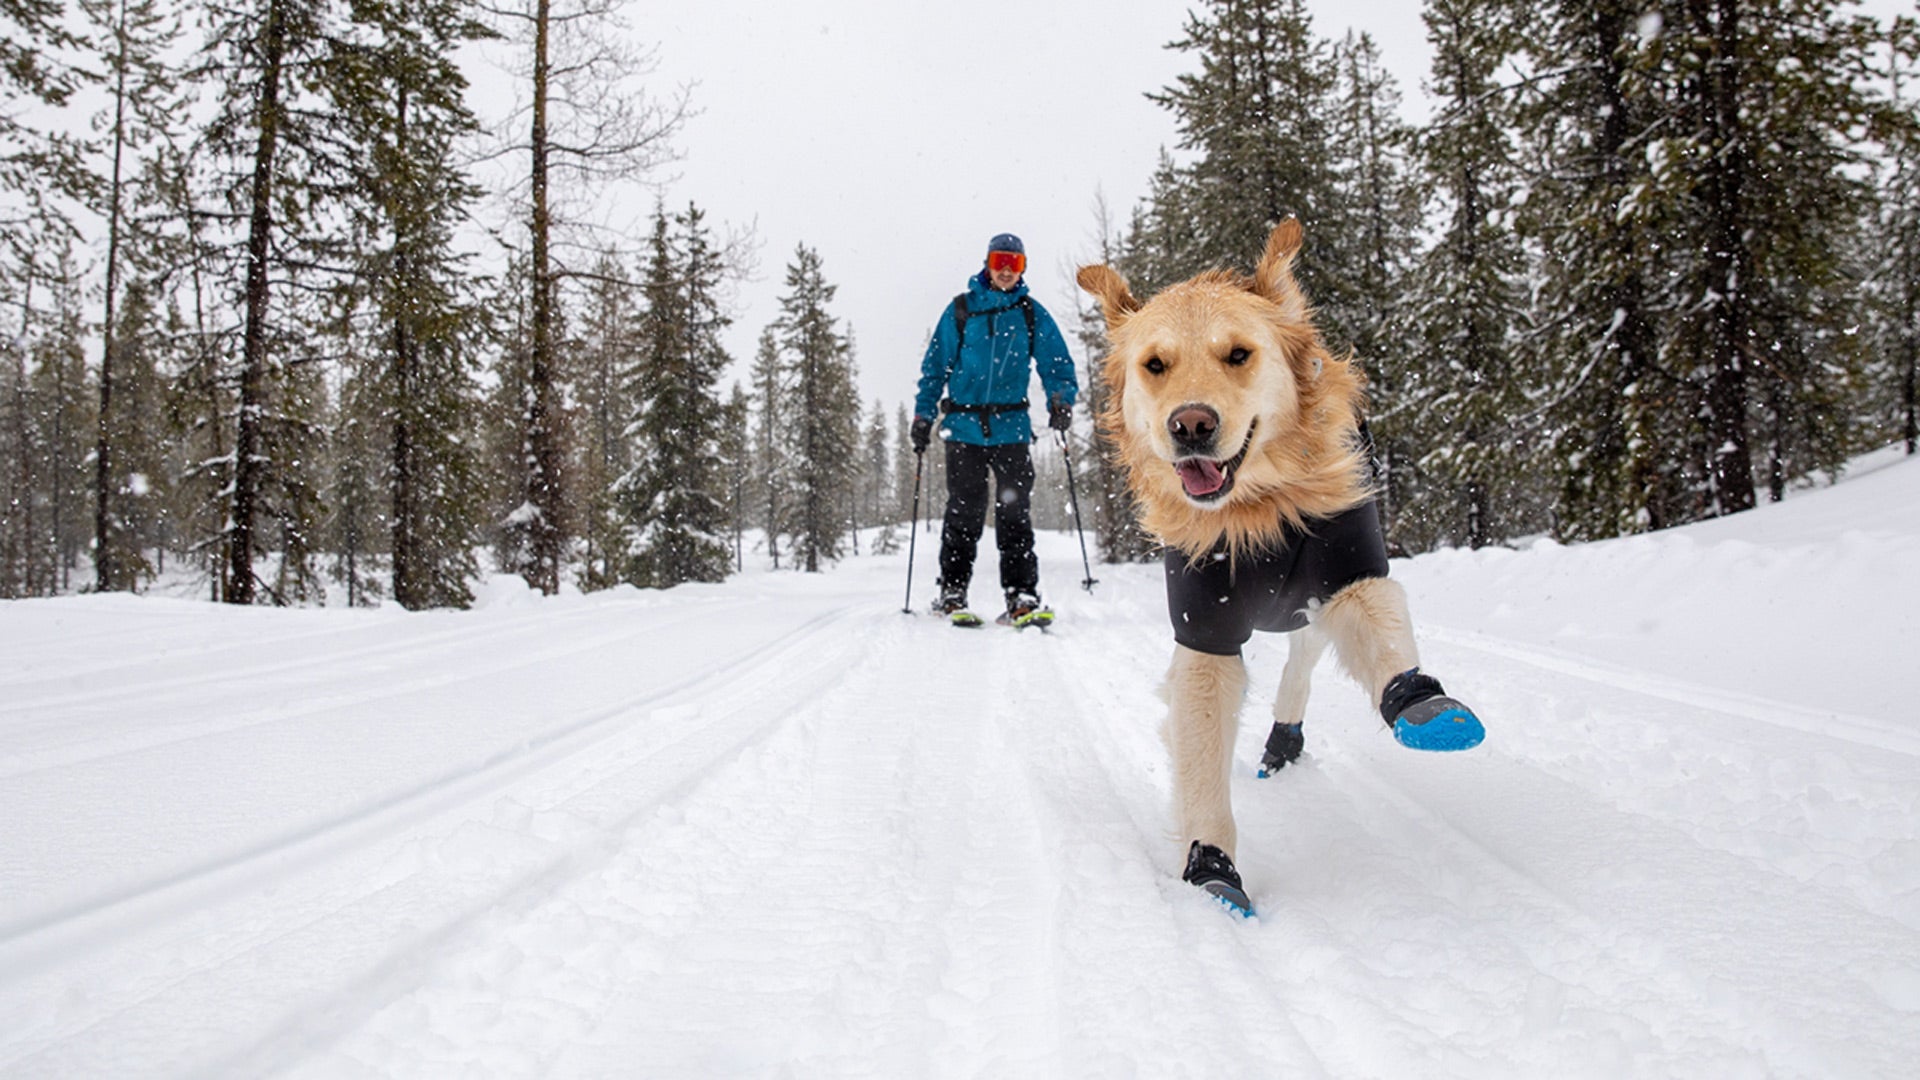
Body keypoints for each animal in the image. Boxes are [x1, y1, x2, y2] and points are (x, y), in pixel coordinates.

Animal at [1082, 220, 1482, 914]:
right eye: (1155, 365)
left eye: (1238, 354)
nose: (1191, 424)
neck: (1253, 512)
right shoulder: (1204, 625)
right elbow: (1202, 758)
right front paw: (1212, 867)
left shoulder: (1349, 567)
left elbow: (1385, 641)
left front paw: (1422, 704)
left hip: (1305, 606)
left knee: (1301, 664)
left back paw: (1284, 739)